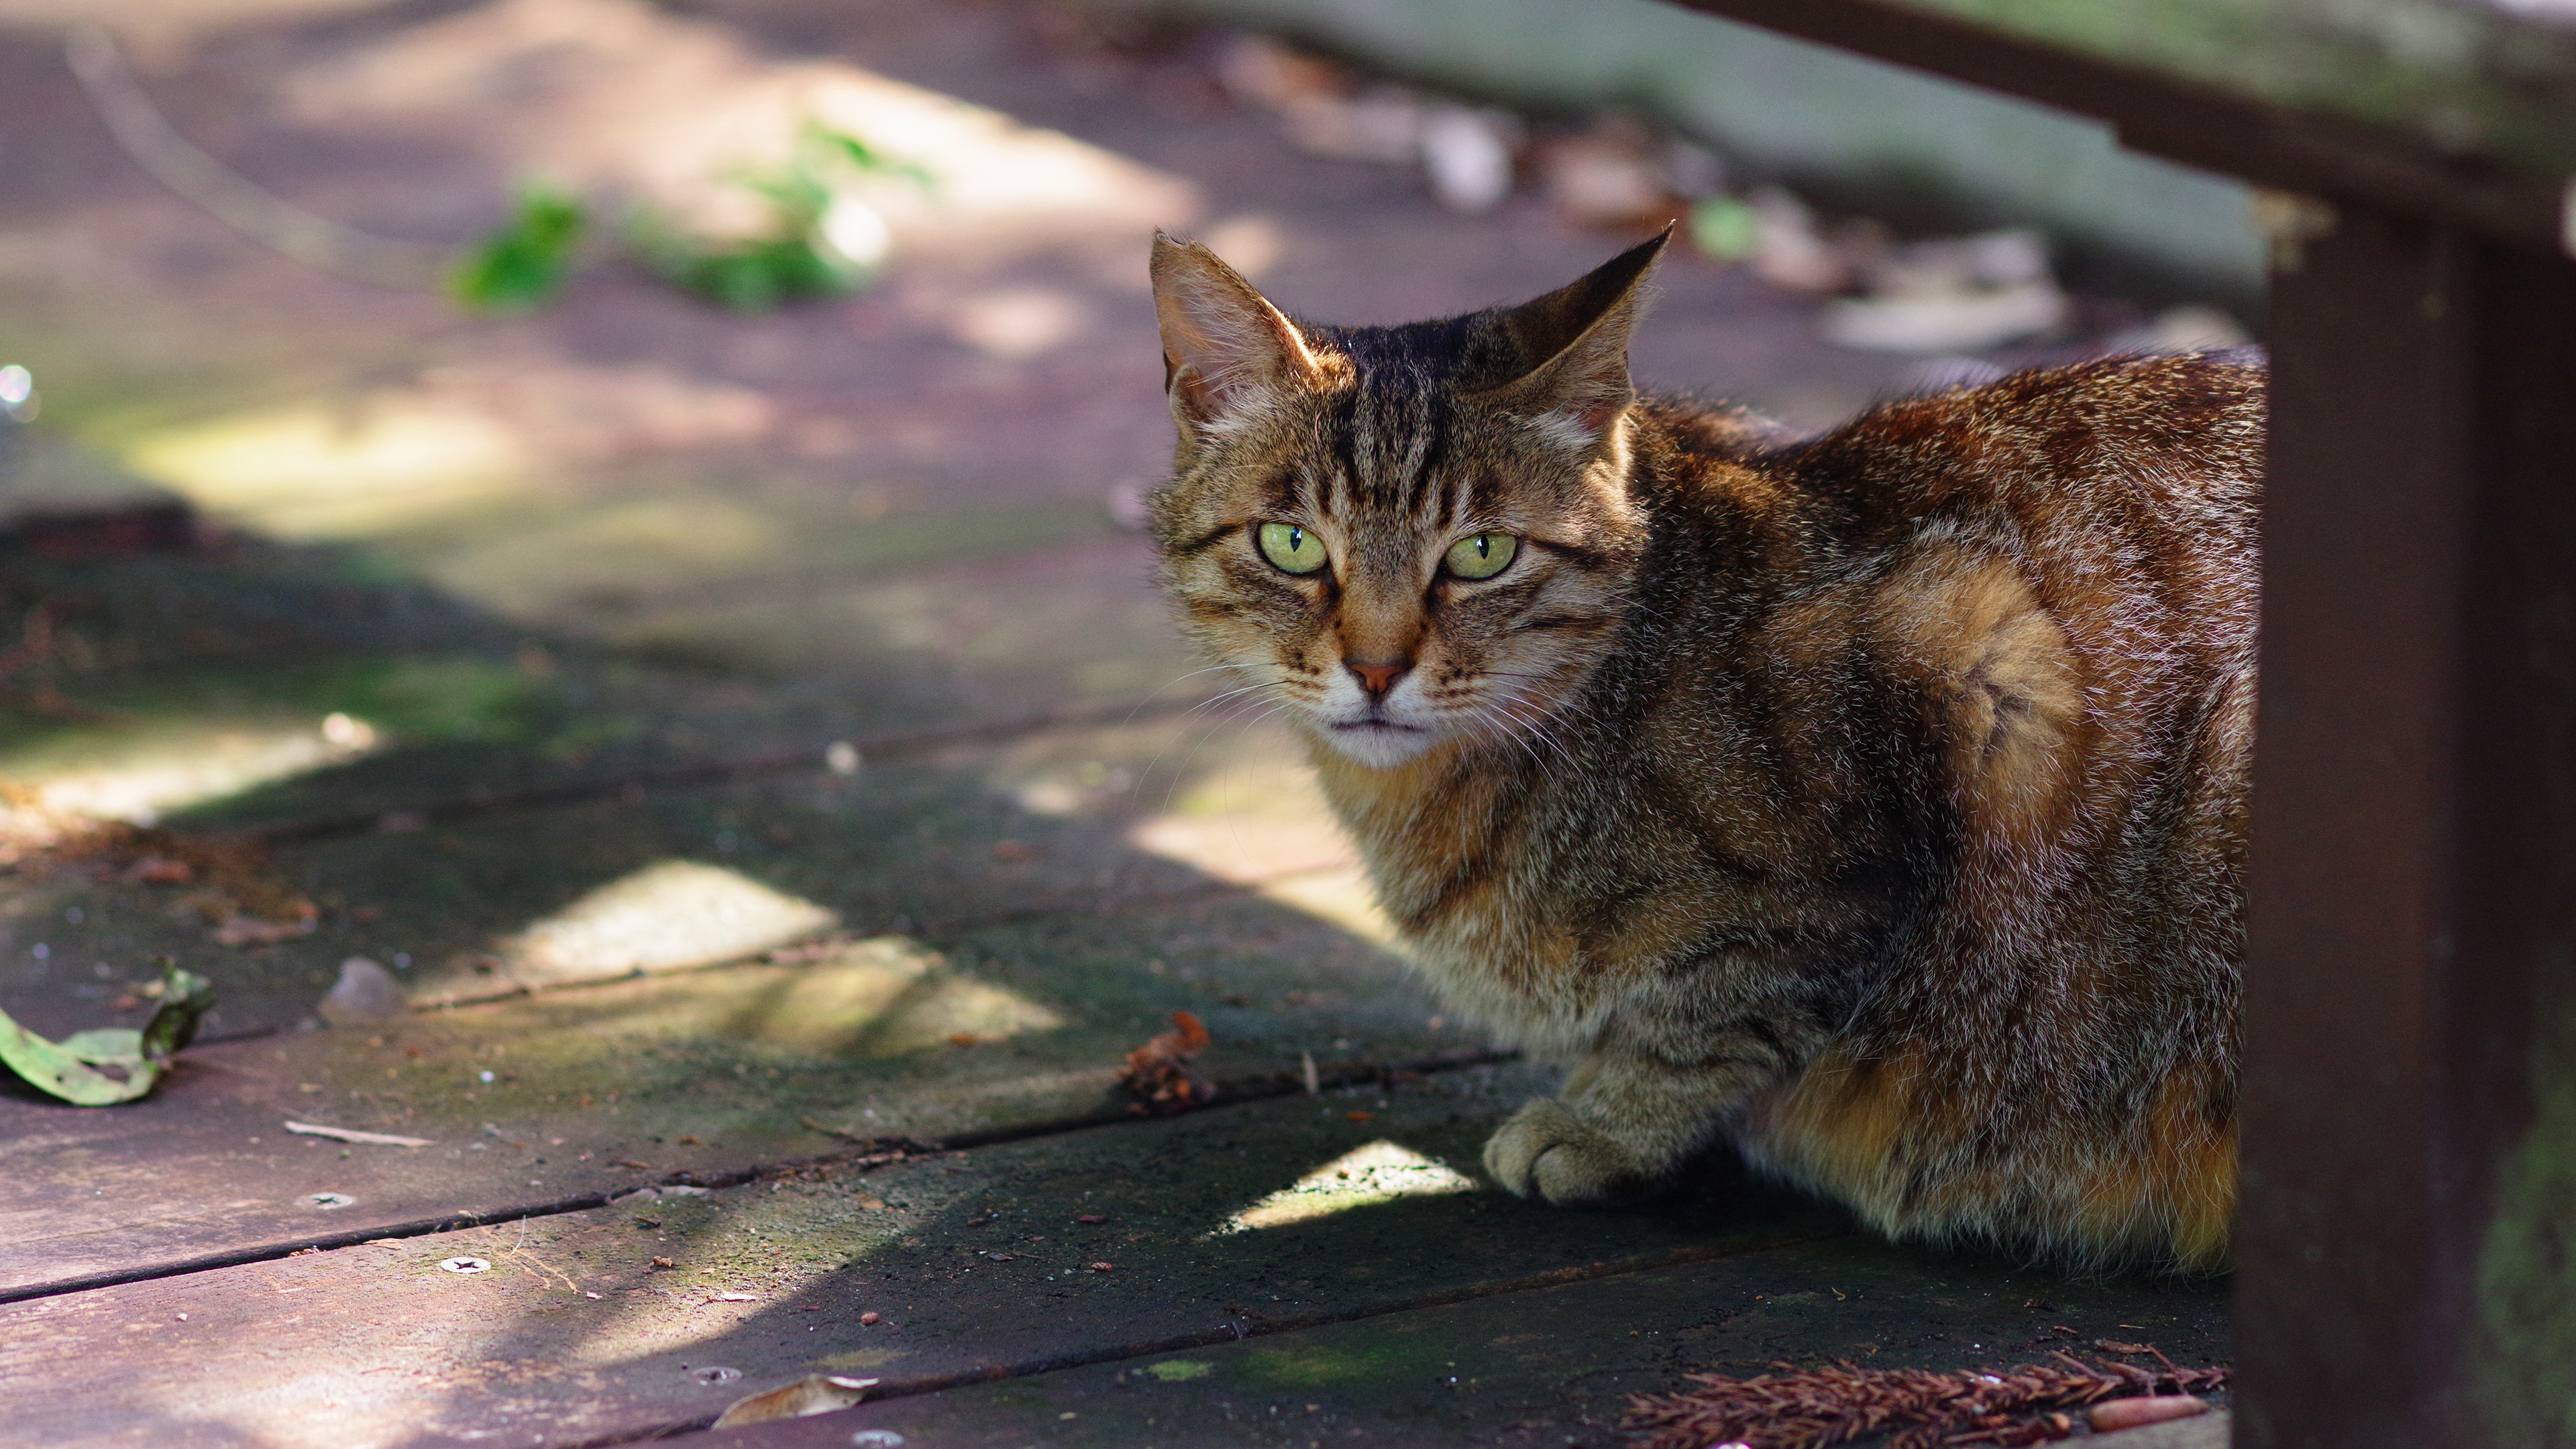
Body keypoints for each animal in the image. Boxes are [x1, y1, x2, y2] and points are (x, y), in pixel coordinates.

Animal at [1148, 225, 2256, 1263]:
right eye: (1292, 544)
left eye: (1482, 554)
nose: (1376, 671)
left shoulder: (1967, 676)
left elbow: (1715, 1007)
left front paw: (1605, 1124)